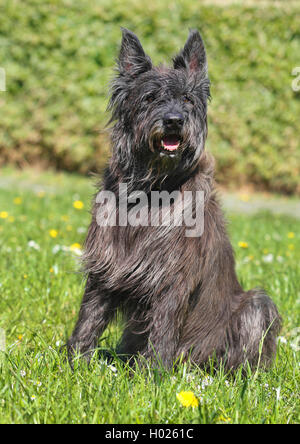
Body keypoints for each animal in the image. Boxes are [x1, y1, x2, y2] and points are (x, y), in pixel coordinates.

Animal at [67, 28, 280, 372]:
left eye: (187, 99)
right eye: (150, 97)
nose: (174, 121)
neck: (152, 190)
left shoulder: (173, 277)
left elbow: (163, 329)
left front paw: (152, 375)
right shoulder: (106, 264)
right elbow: (89, 317)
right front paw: (74, 364)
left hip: (255, 306)